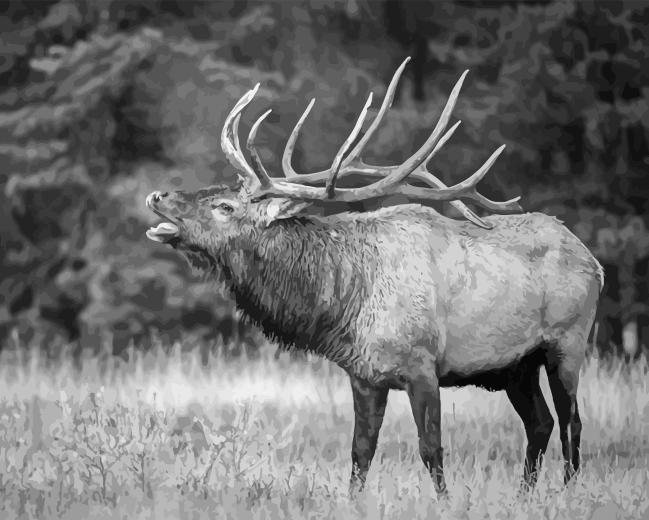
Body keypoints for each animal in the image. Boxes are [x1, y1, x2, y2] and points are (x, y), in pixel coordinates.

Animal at [146, 59, 604, 498]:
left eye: (224, 206)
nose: (157, 195)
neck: (347, 303)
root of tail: (594, 261)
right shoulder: (364, 375)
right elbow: (360, 452)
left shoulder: (423, 364)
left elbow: (431, 449)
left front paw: (446, 503)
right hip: (516, 366)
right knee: (540, 424)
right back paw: (525, 497)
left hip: (567, 342)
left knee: (571, 423)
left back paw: (566, 494)